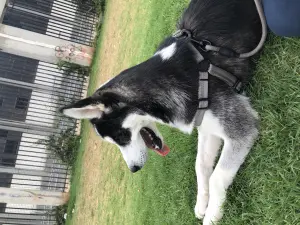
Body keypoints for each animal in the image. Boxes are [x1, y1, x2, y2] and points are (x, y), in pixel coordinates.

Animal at [61, 0, 262, 224]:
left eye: (121, 136)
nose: (134, 169)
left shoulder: (241, 128)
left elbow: (217, 176)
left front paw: (212, 215)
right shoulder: (207, 128)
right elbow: (201, 166)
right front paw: (202, 204)